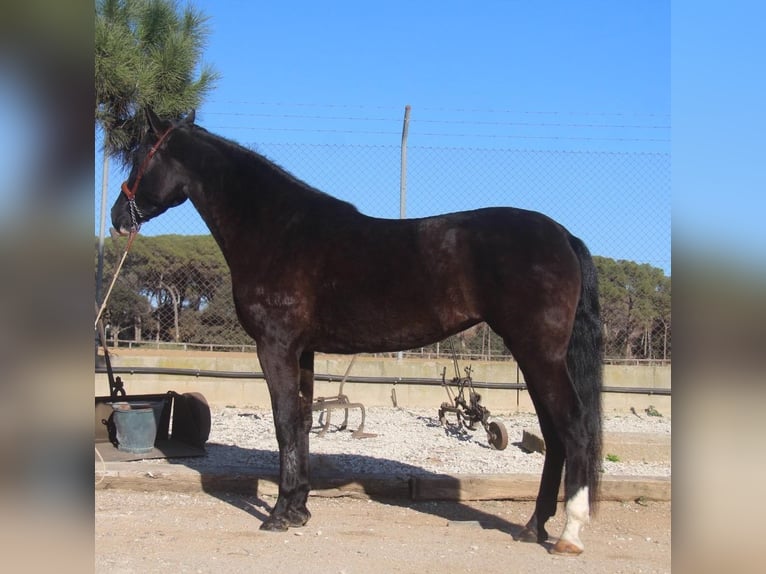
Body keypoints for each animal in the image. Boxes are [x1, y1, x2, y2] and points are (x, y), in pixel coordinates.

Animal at [114, 110, 608, 556]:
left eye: (139, 157)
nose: (119, 216)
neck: (278, 231)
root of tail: (563, 236)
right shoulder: (303, 351)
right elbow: (303, 422)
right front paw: (298, 509)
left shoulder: (275, 347)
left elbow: (283, 423)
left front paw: (277, 516)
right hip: (536, 357)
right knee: (554, 435)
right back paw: (533, 526)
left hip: (539, 355)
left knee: (574, 427)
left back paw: (568, 534)